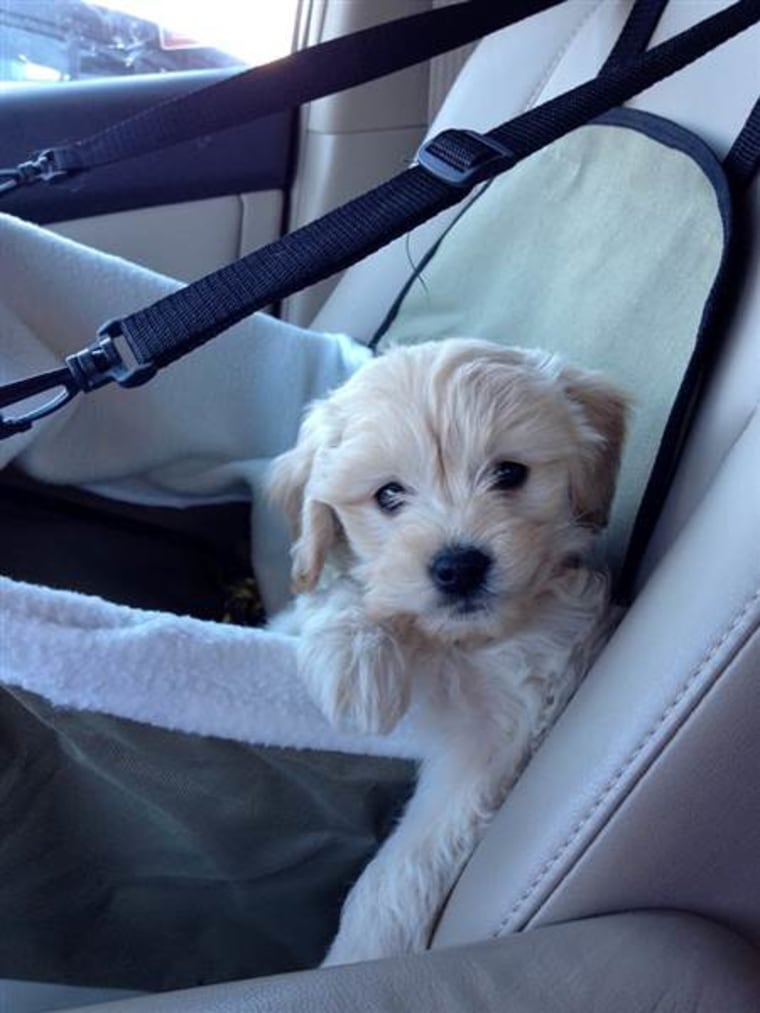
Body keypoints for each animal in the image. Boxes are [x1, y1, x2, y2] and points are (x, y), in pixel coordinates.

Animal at [271, 338, 628, 964]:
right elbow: (333, 587)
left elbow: (406, 866)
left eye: (509, 473)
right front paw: (357, 659)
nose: (459, 566)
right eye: (389, 494)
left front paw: (364, 948)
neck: (456, 642)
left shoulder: (496, 736)